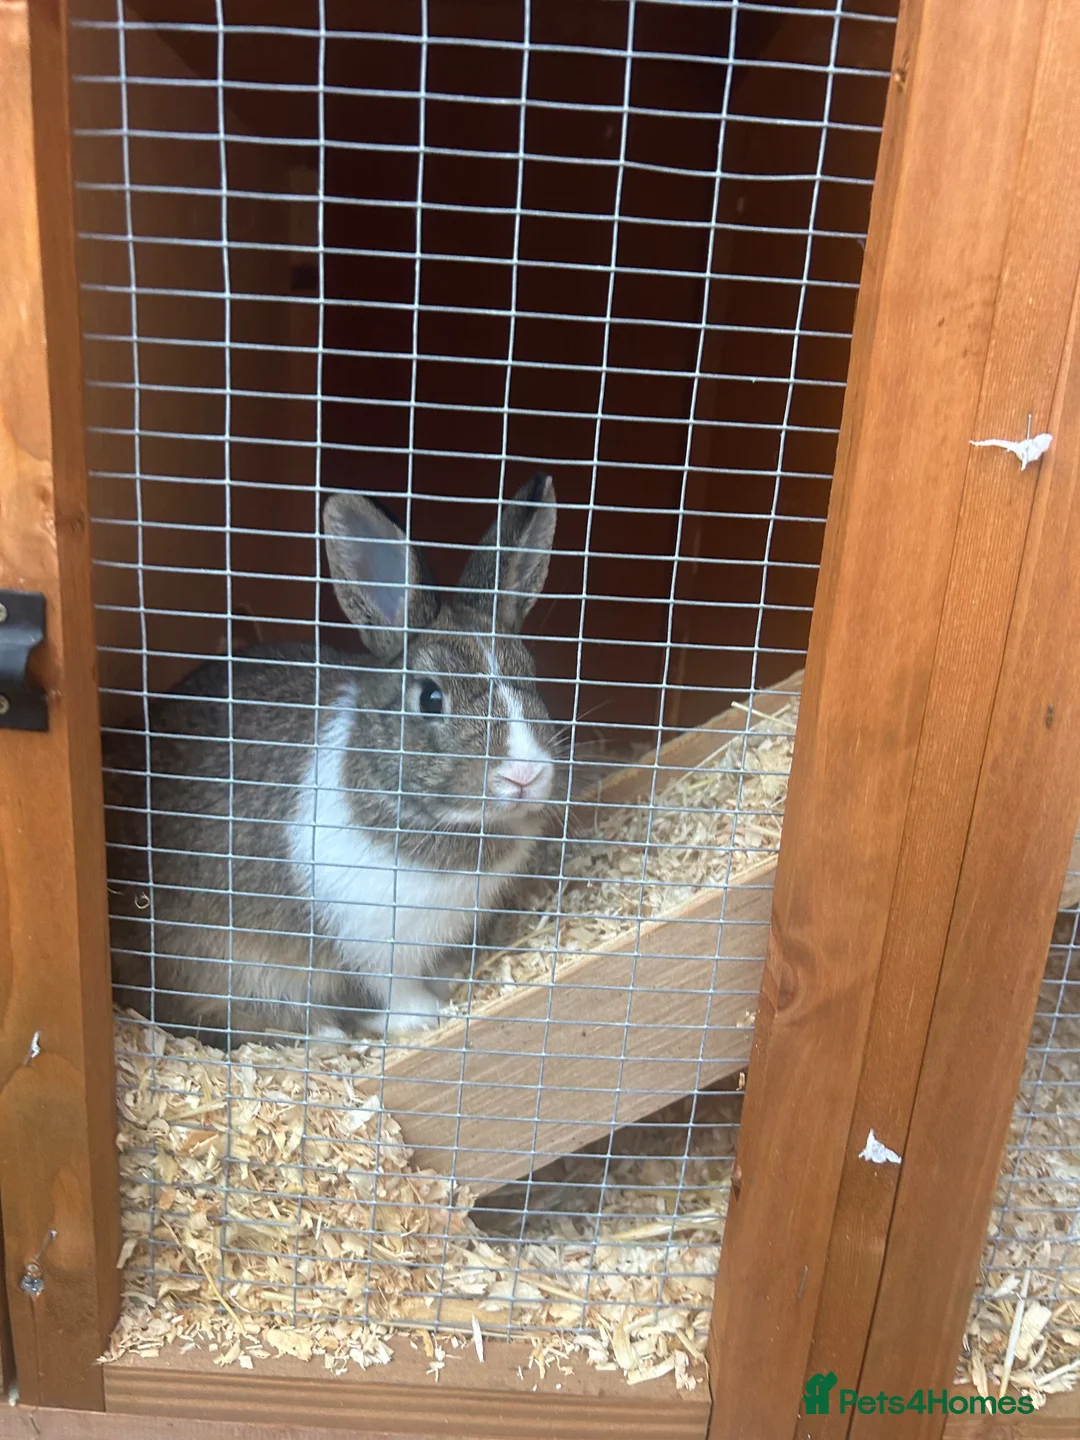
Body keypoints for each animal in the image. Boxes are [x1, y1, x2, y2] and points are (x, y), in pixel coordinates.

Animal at [105, 472, 565, 1047]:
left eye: (532, 677)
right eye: (430, 698)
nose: (524, 774)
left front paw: (445, 982)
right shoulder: (371, 945)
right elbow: (391, 989)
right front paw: (420, 1017)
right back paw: (324, 1033)